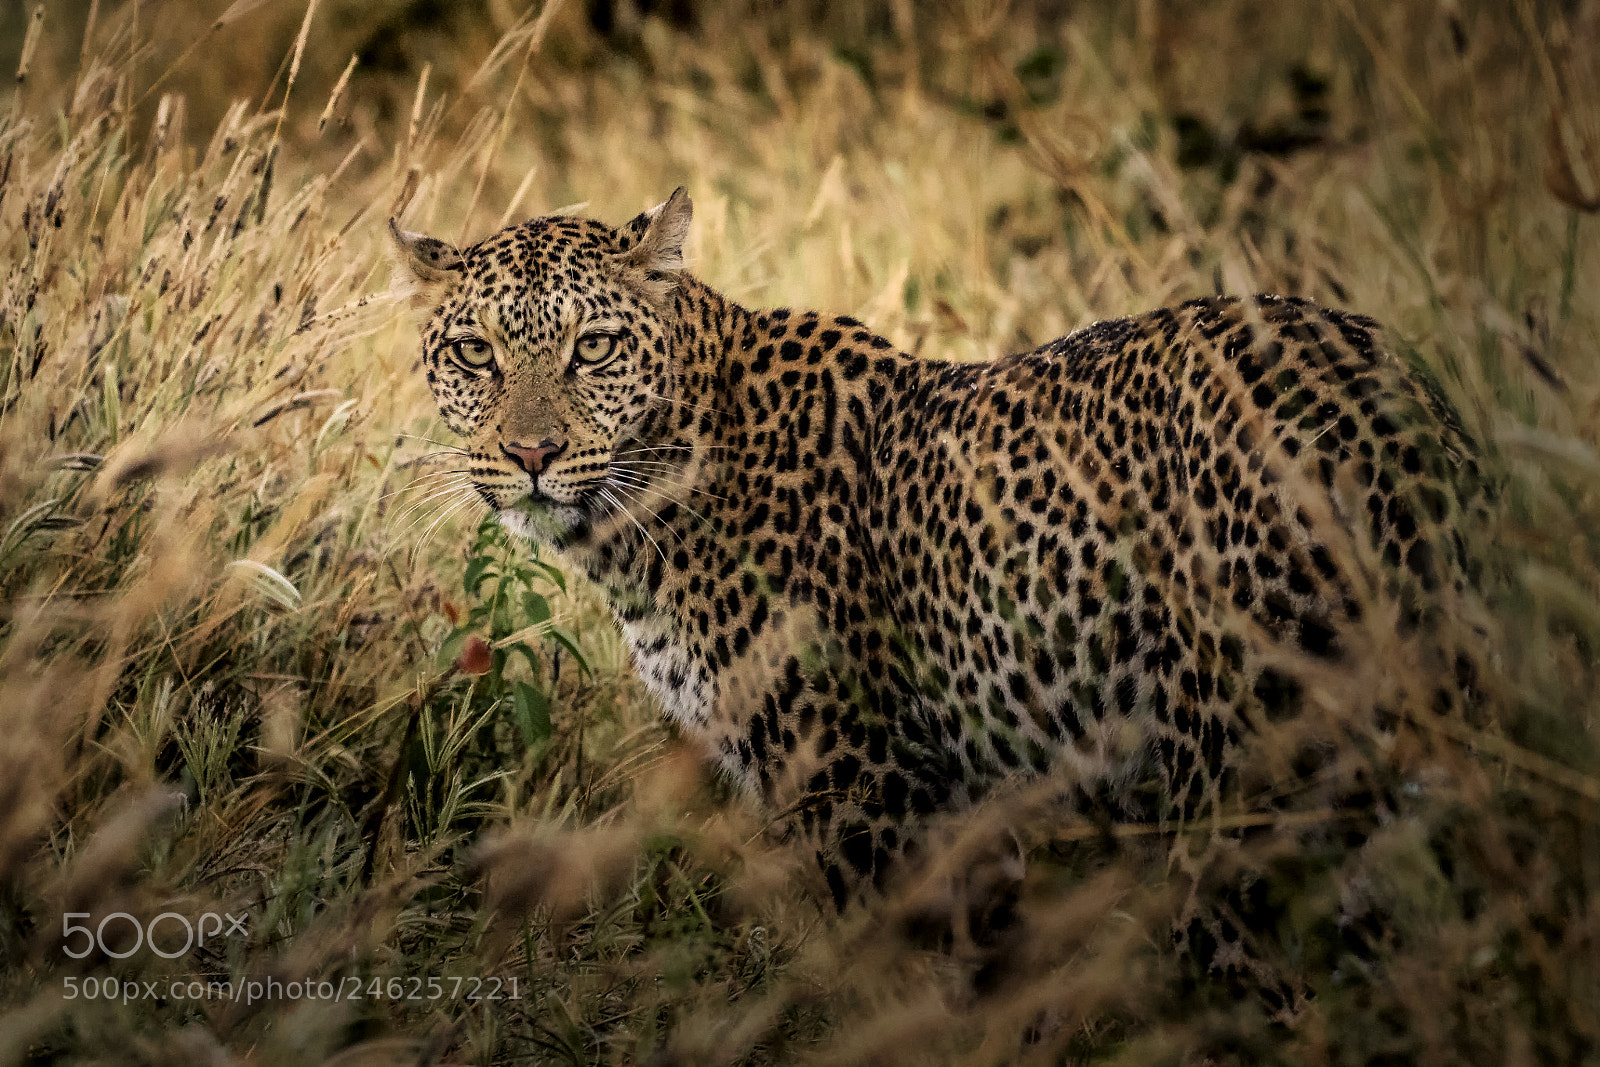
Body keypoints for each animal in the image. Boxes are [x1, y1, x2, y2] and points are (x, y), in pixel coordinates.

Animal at [390, 188, 1487, 1013]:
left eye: (594, 349)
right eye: (477, 353)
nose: (531, 453)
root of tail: (1383, 400)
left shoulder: (856, 791)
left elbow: (906, 995)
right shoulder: (960, 818)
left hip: (1242, 785)